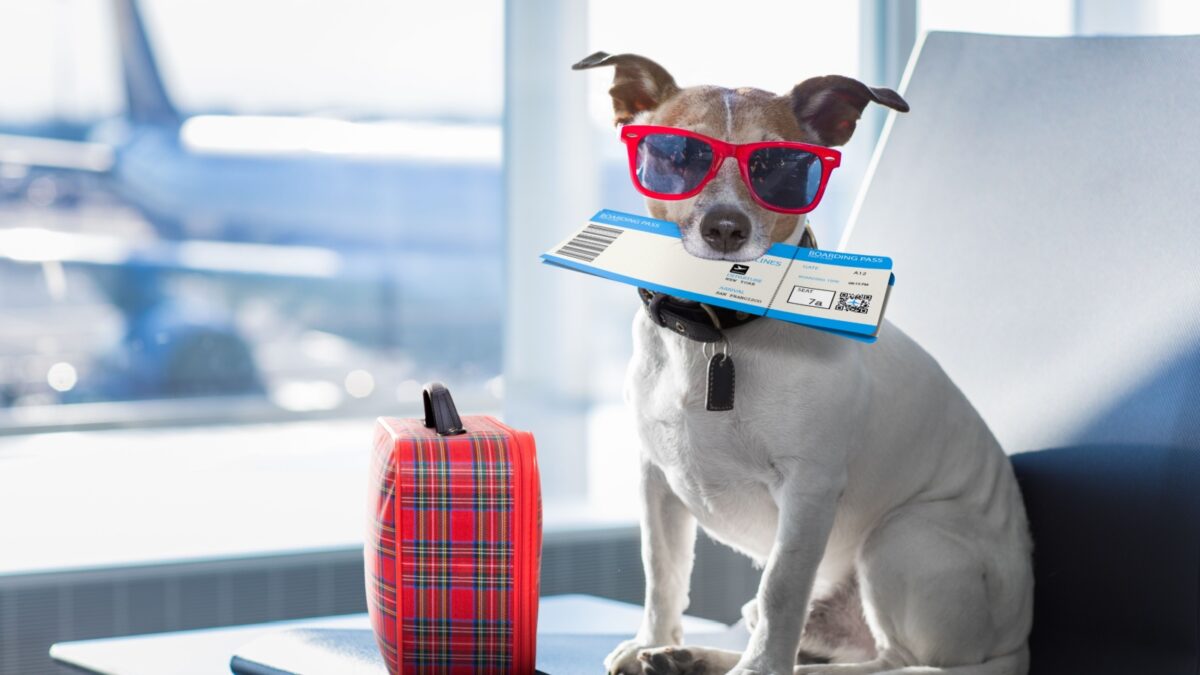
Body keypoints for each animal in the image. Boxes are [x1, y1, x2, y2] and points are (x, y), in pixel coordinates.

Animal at [571, 52, 1032, 672]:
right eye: (680, 155)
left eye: (782, 168)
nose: (725, 227)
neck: (716, 332)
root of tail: (1017, 641)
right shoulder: (656, 481)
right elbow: (661, 573)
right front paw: (652, 640)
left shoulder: (808, 490)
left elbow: (782, 587)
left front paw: (759, 668)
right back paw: (688, 655)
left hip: (903, 536)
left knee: (893, 662)